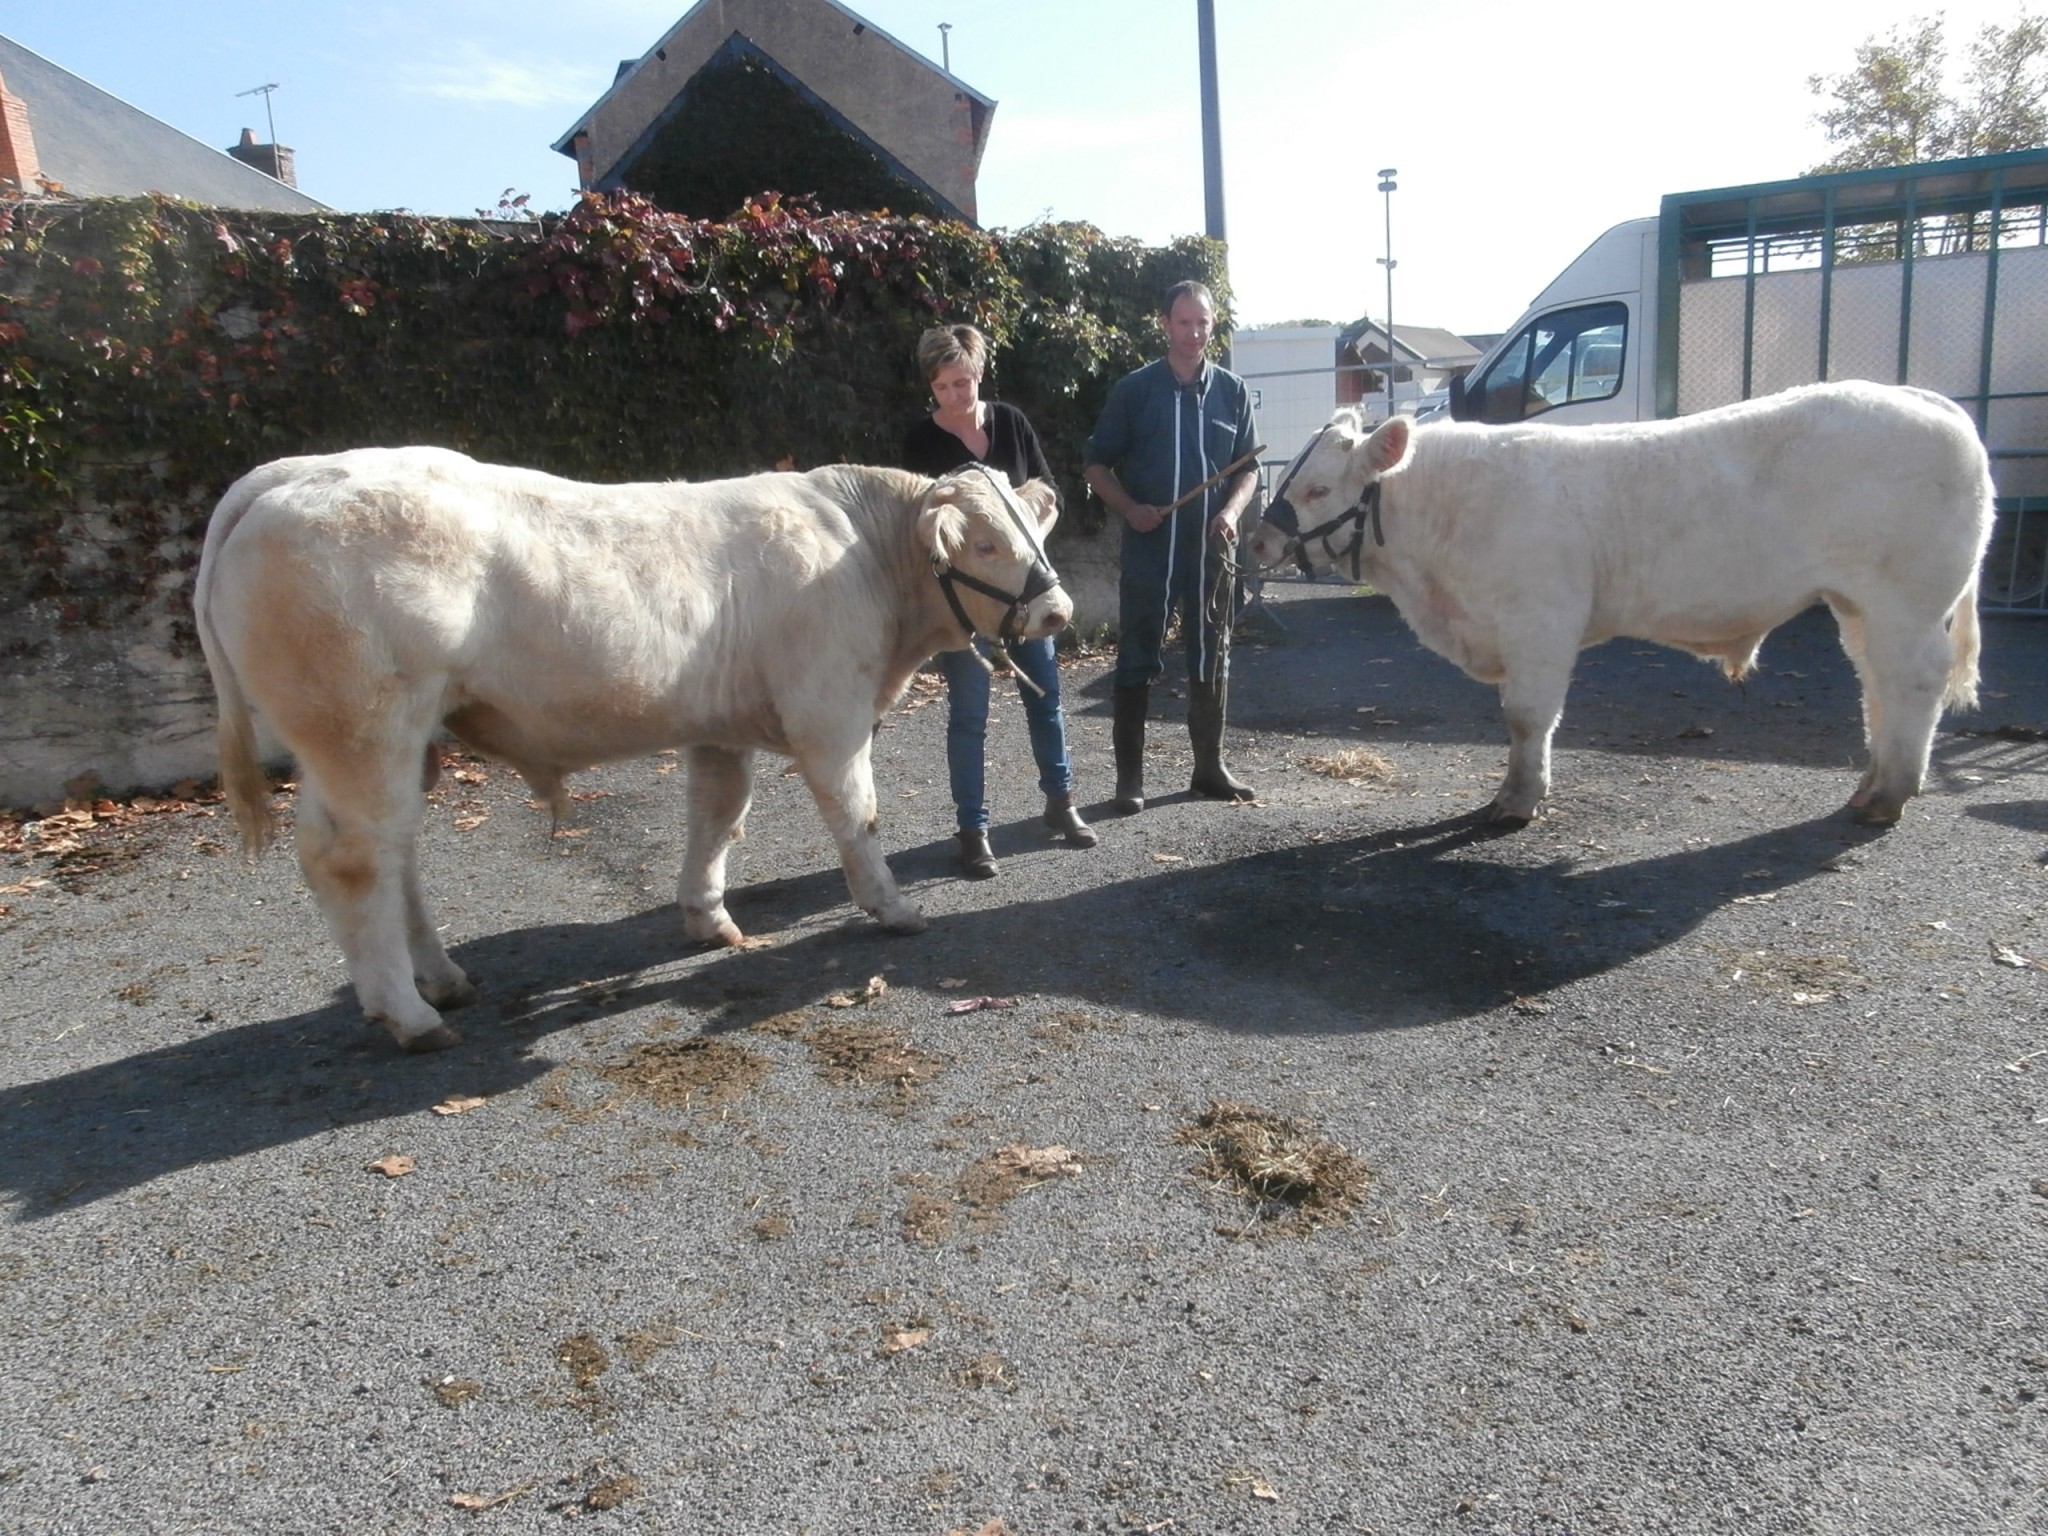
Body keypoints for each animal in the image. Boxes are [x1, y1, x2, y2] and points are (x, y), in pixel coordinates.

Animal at [195, 444, 1073, 1048]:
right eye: (985, 545)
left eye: (1036, 533)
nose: (1058, 611)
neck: (864, 556)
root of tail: (294, 473)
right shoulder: (831, 713)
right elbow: (857, 815)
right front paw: (892, 909)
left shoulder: (721, 728)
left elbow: (717, 817)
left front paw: (708, 919)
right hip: (362, 729)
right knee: (352, 860)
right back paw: (410, 1015)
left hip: (379, 747)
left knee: (388, 854)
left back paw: (442, 981)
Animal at [1236, 382, 1990, 831]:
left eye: (1317, 489)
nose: (1257, 536)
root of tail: (1930, 401)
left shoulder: (1540, 621)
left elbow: (1526, 717)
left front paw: (1518, 800)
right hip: (1858, 603)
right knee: (1875, 683)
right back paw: (1874, 781)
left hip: (1907, 599)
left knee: (1913, 680)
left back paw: (1891, 792)